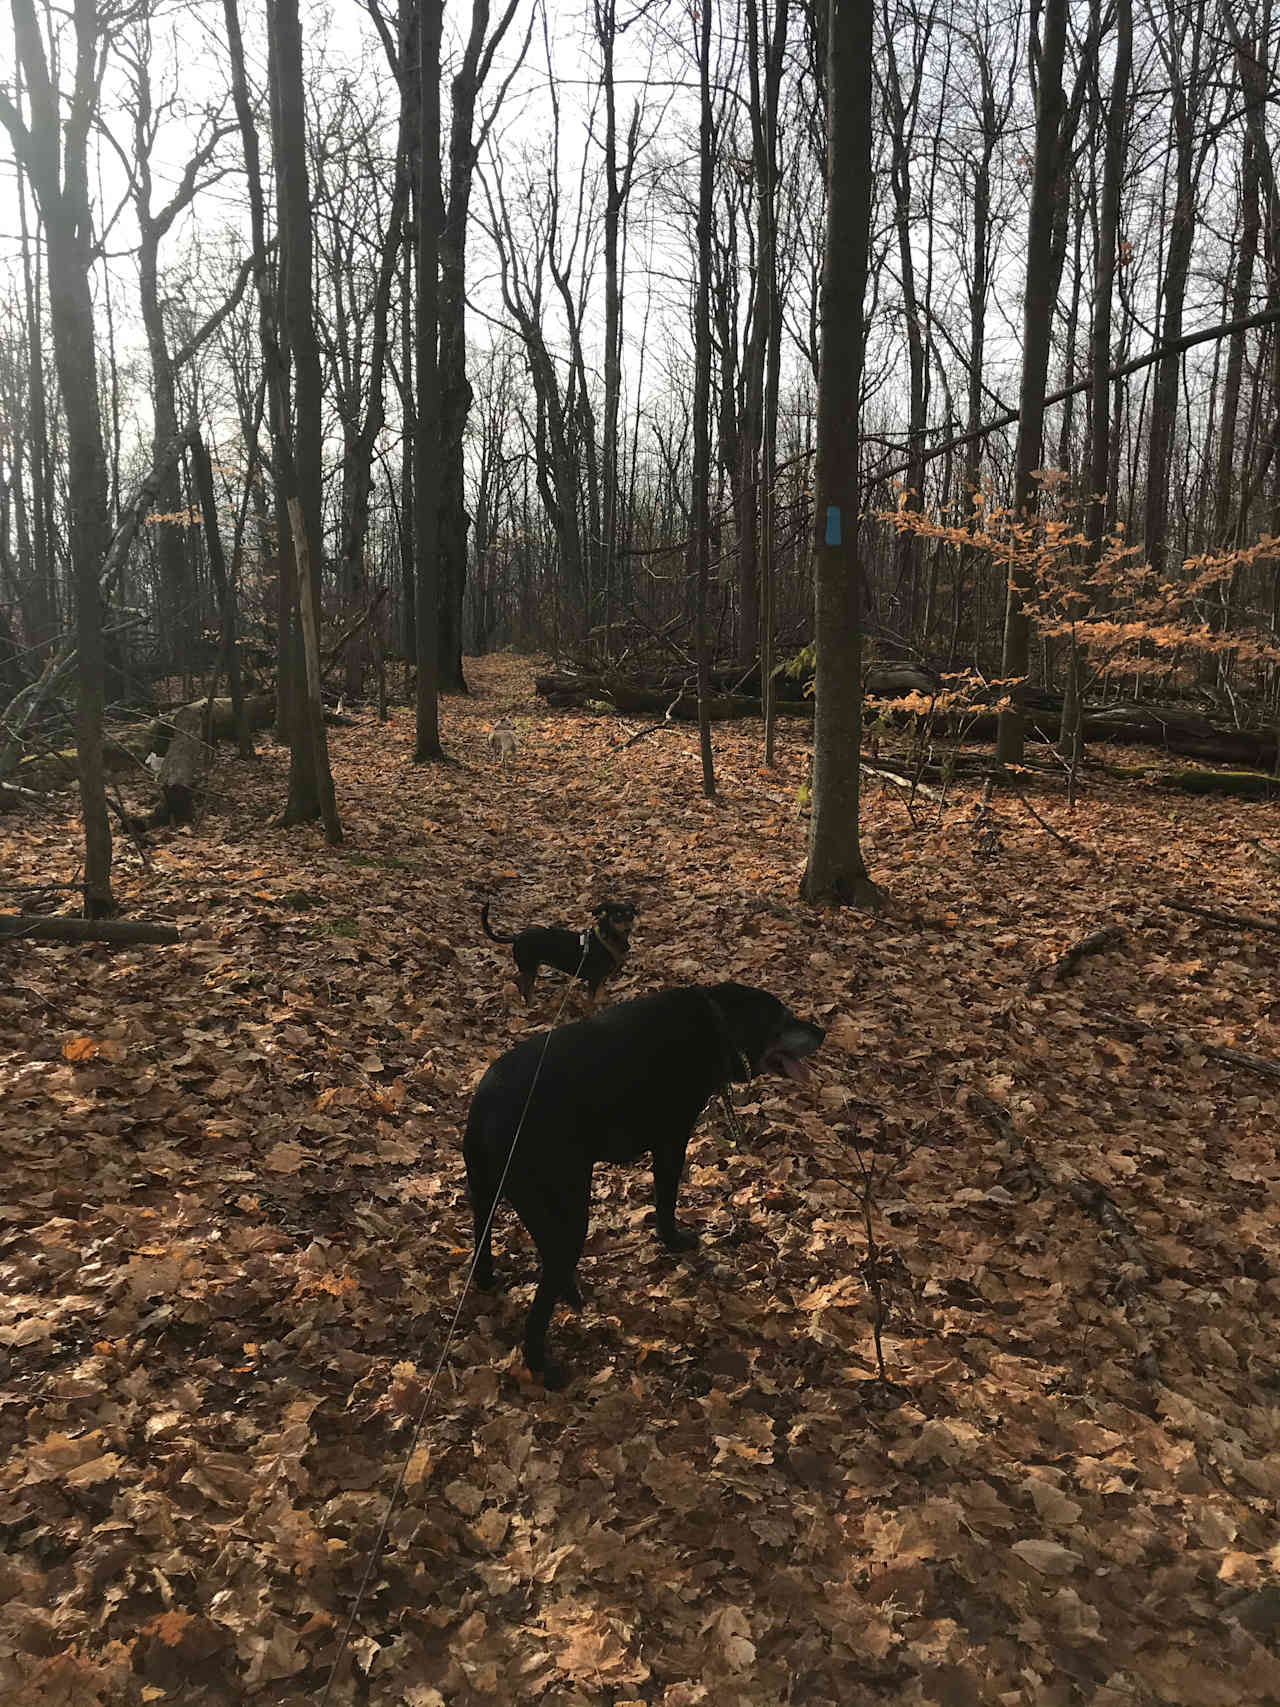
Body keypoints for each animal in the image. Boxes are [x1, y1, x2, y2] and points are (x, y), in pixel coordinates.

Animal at [467, 990, 826, 1386]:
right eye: (783, 1017)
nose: (821, 1032)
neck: (716, 1022)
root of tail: (487, 1107)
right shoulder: (671, 1141)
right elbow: (666, 1199)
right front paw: (672, 1239)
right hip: (566, 1208)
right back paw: (542, 1365)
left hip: (487, 1195)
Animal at [481, 894, 638, 996]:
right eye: (617, 915)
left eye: (630, 915)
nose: (627, 929)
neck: (608, 939)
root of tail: (517, 936)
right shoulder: (594, 980)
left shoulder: (601, 981)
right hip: (528, 968)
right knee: (526, 991)